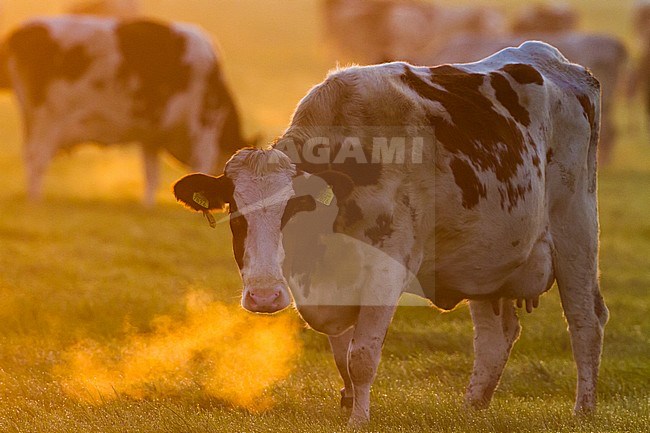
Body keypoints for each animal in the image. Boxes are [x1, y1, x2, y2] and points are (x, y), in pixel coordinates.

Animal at [0, 16, 249, 204]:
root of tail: (22, 32)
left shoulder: (152, 137)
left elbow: (151, 176)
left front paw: (148, 206)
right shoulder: (204, 127)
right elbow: (200, 167)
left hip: (32, 121)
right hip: (48, 119)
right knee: (37, 158)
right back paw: (35, 201)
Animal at [172, 41, 604, 426]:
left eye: (294, 209)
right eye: (235, 215)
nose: (264, 297)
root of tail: (556, 61)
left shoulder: (386, 272)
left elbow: (361, 358)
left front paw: (358, 419)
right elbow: (342, 357)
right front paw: (349, 403)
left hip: (576, 231)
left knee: (586, 320)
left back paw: (583, 410)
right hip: (487, 260)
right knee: (495, 336)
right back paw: (471, 410)